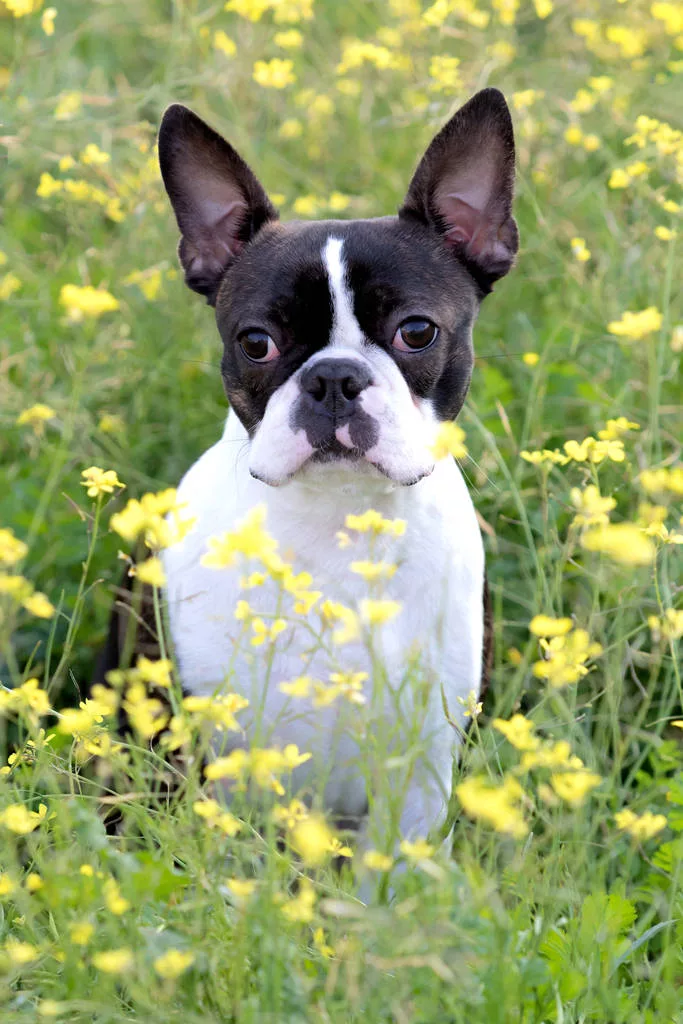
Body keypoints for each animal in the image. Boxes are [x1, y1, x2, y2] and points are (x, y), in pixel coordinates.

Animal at [148, 90, 518, 847]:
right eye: (255, 342)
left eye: (417, 332)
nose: (334, 378)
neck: (339, 520)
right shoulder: (209, 754)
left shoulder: (422, 770)